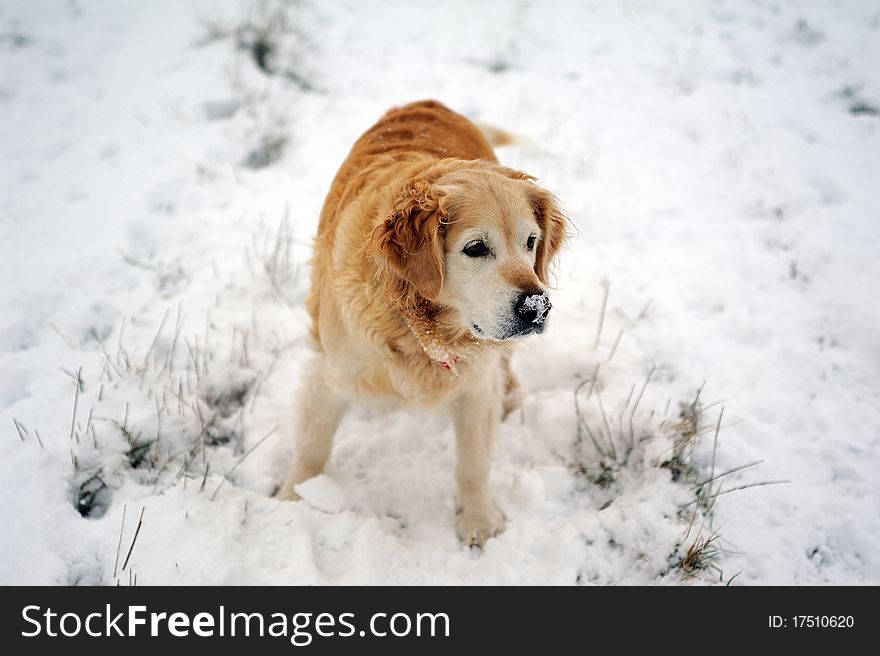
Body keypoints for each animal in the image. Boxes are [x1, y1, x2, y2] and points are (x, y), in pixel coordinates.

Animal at [276, 100, 564, 544]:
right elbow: (312, 447)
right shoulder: (330, 373)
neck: (418, 326)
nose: (537, 307)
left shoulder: (476, 383)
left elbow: (473, 463)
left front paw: (479, 523)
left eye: (530, 242)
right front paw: (293, 501)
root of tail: (429, 102)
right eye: (475, 248)